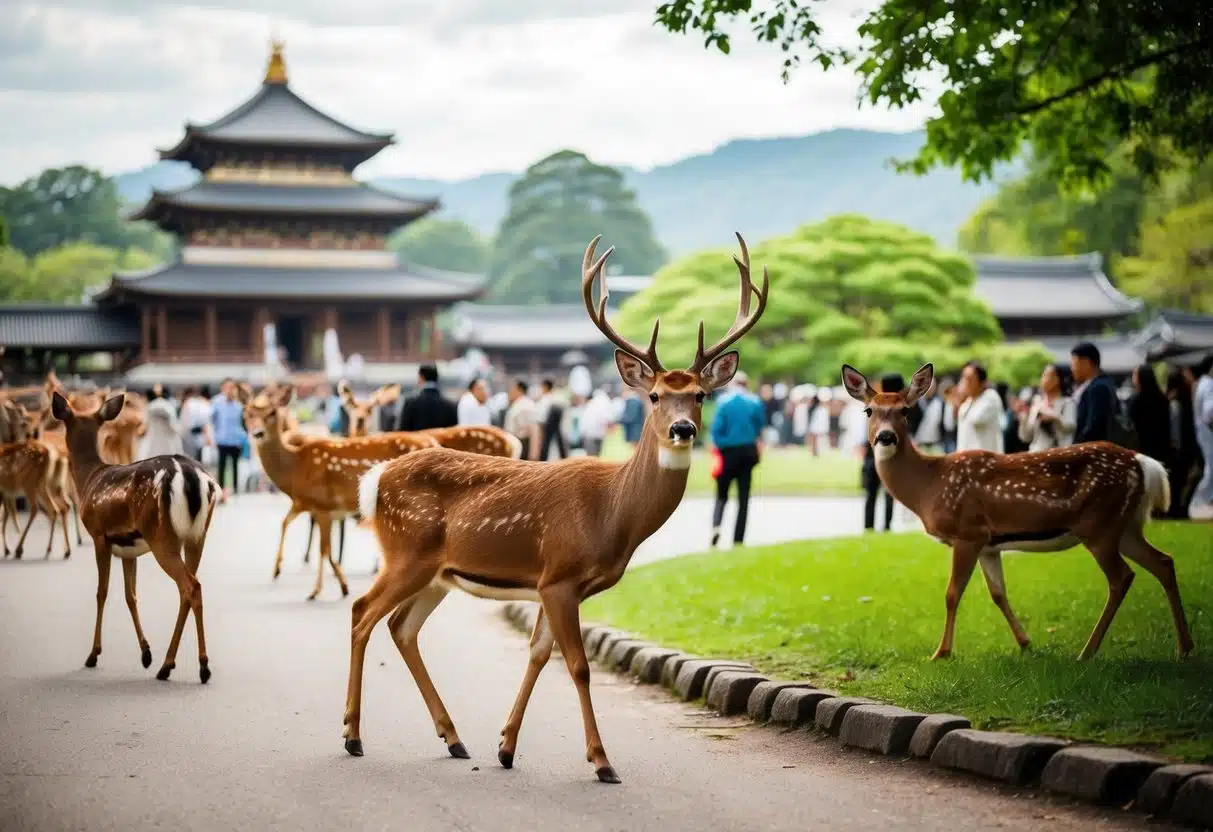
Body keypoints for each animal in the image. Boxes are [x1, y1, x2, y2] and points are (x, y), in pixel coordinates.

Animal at [50, 391, 221, 682]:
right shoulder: (129, 549)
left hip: (161, 535)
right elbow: (131, 596)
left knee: (190, 586)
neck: (89, 480)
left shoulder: (99, 535)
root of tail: (191, 477)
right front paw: (145, 654)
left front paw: (93, 655)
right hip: (197, 535)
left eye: (64, 425)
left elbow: (102, 592)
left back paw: (191, 667)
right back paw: (175, 664)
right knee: (190, 587)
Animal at [238, 384, 439, 600]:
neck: (295, 469)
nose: (257, 433)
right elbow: (288, 524)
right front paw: (279, 570)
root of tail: (434, 443)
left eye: (272, 412)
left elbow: (323, 548)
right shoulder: (310, 505)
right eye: (246, 412)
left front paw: (316, 591)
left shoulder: (322, 505)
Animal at [344, 233, 768, 784]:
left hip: (437, 572)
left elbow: (538, 655)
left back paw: (454, 738)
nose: (683, 429)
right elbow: (578, 666)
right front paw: (603, 762)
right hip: (406, 551)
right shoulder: (561, 576)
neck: (613, 515)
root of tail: (374, 480)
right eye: (654, 396)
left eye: (699, 395)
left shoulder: (553, 584)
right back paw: (353, 736)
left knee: (401, 627)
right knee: (361, 612)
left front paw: (505, 748)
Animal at [840, 362, 1194, 662]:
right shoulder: (988, 544)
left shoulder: (967, 532)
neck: (929, 486)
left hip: (1100, 524)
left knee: (1122, 577)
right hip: (1126, 524)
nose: (885, 437)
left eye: (905, 410)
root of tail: (1142, 463)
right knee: (1163, 562)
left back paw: (1087, 652)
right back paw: (1184, 649)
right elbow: (998, 594)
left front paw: (940, 653)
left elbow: (952, 593)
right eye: (869, 410)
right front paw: (1025, 643)